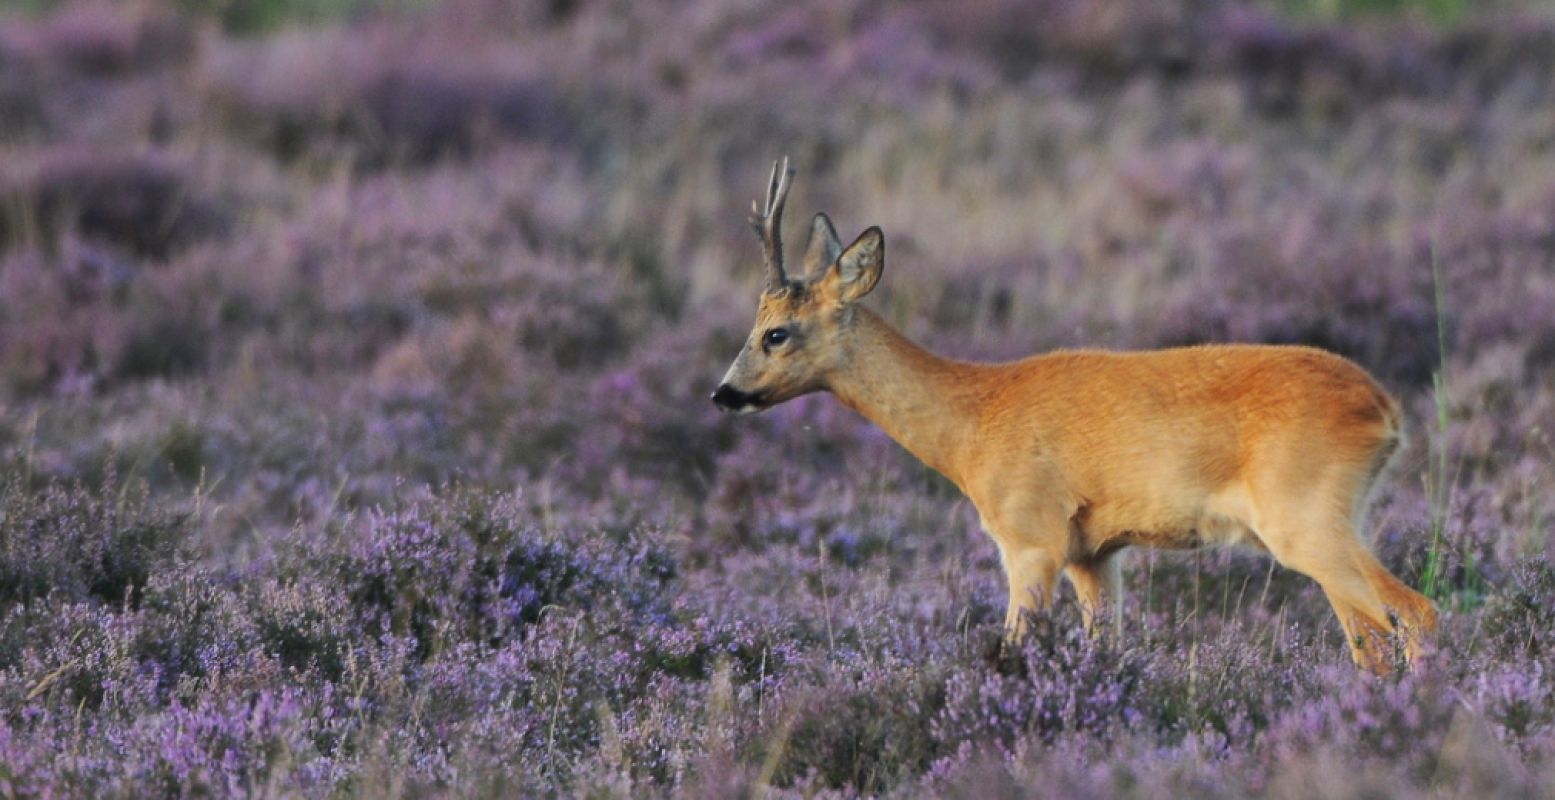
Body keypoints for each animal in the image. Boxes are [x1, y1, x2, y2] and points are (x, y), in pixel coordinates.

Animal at [712, 158, 1436, 669]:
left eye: (776, 332)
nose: (723, 393)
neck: (974, 421)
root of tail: (1384, 410)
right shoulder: (1095, 552)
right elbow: (1106, 649)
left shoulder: (1030, 536)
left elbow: (1011, 649)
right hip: (1337, 518)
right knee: (1377, 637)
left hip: (1304, 518)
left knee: (1410, 616)